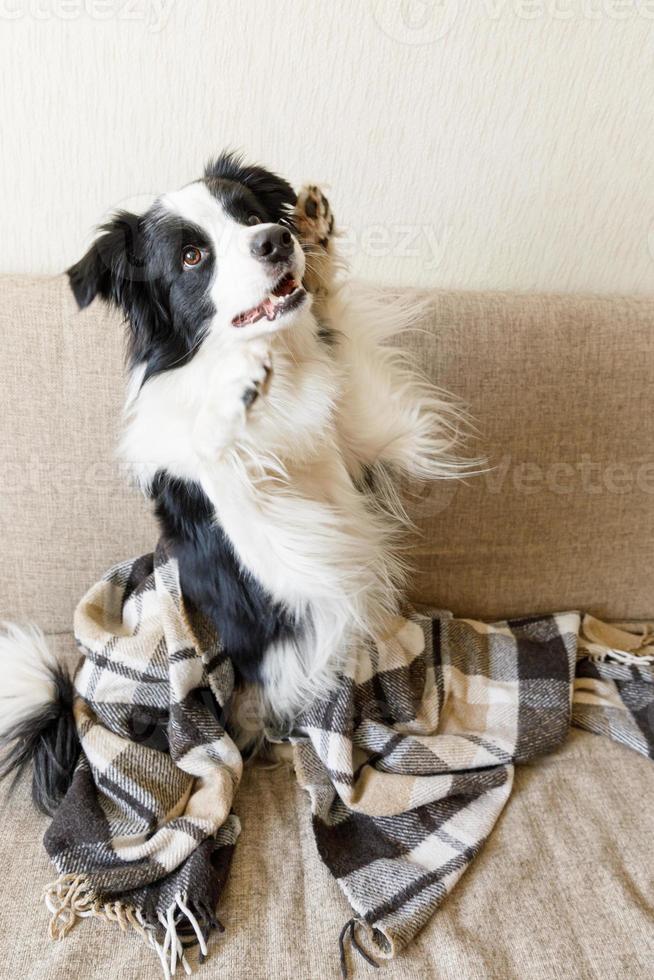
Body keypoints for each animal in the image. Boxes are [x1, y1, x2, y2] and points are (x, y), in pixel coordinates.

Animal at [0, 153, 466, 812]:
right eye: (193, 257)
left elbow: (343, 350)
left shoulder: (366, 438)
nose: (277, 239)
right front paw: (231, 397)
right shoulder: (281, 557)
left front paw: (318, 246)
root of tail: (77, 707)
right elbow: (222, 468)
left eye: (250, 216)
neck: (280, 379)